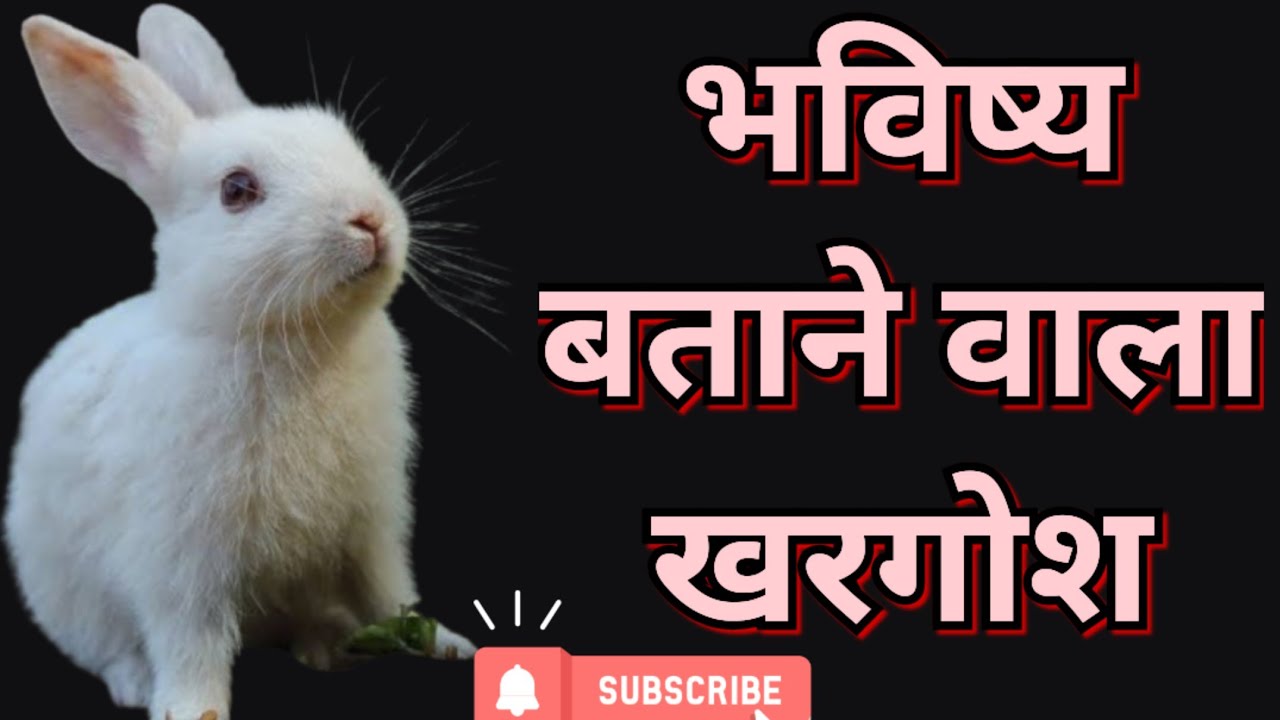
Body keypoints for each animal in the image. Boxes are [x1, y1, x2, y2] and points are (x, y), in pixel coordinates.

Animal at [5, 5, 479, 719]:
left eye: (348, 143)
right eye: (237, 190)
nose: (368, 220)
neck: (296, 342)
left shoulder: (372, 522)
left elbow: (390, 591)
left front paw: (448, 644)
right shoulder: (181, 559)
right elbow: (191, 638)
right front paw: (191, 709)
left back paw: (329, 646)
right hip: (68, 594)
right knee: (108, 648)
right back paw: (135, 682)